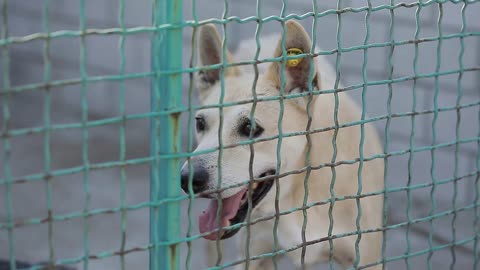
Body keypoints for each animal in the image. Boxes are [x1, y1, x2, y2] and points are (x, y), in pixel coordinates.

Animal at [181, 20, 386, 268]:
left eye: (250, 128)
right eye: (200, 123)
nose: (187, 179)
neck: (299, 188)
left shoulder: (366, 258)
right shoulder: (253, 255)